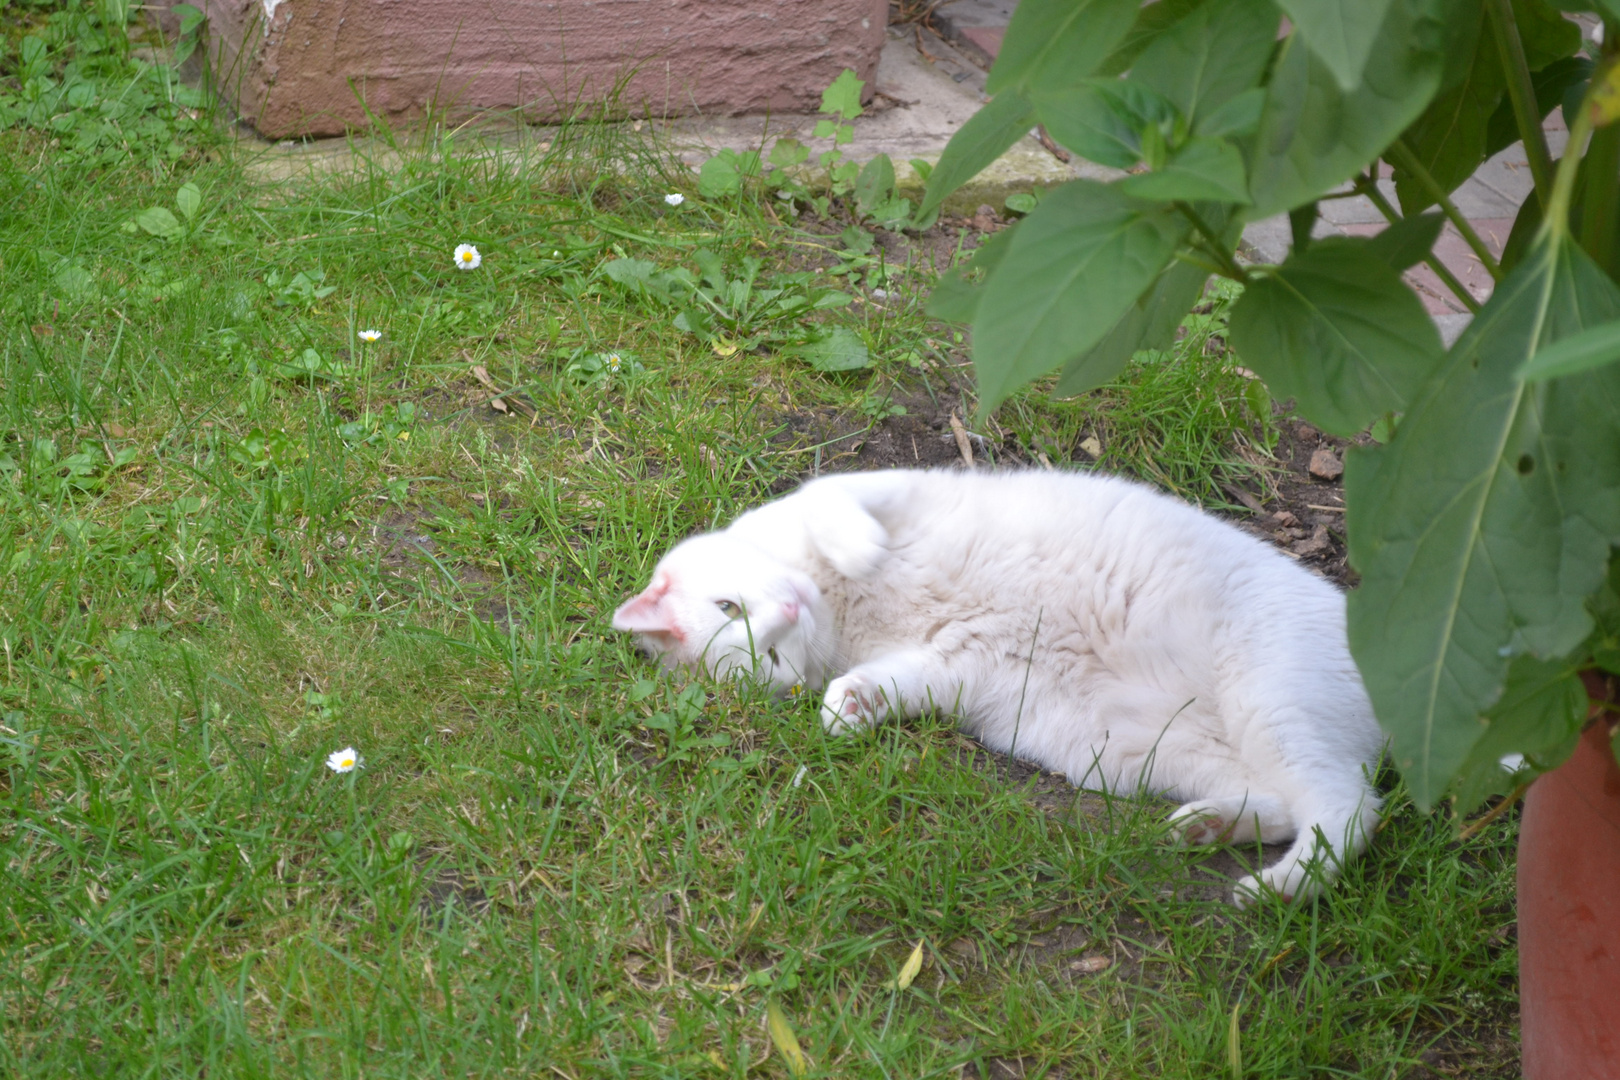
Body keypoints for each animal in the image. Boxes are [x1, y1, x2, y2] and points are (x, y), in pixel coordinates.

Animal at [612, 469, 1386, 906]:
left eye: (731, 609)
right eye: (769, 659)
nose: (789, 613)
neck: (838, 609)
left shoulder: (880, 485)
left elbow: (835, 509)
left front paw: (861, 550)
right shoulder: (950, 666)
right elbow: (884, 684)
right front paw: (845, 710)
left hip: (1269, 701)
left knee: (1347, 809)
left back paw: (1277, 887)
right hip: (1159, 753)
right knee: (1310, 806)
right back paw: (1218, 837)